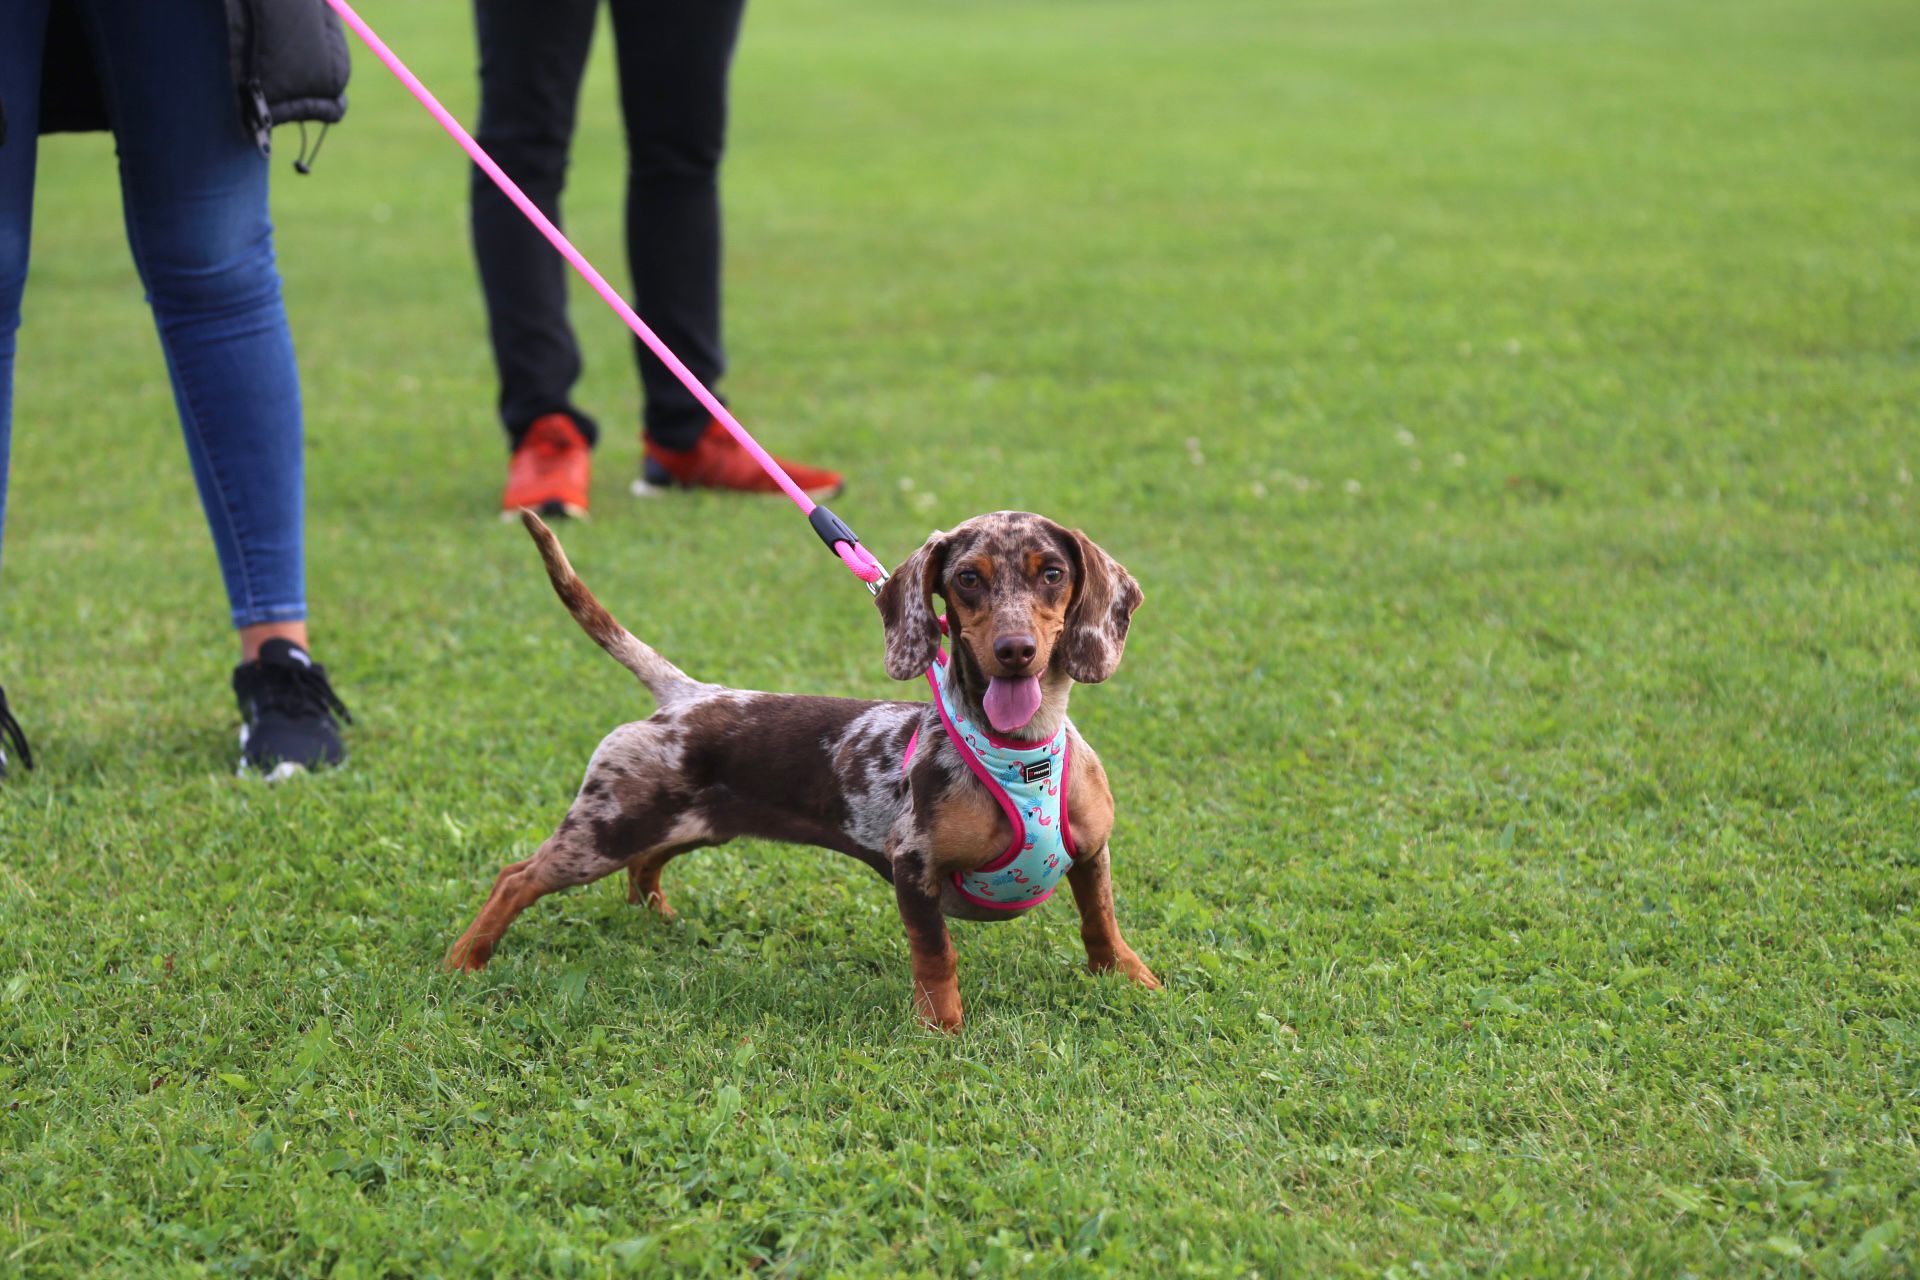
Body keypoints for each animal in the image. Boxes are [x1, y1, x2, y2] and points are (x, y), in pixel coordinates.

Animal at [449, 510, 1152, 1028]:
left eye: (1053, 573)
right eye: (968, 579)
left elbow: (1101, 922)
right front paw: (943, 1029)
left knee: (644, 866)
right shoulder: (913, 868)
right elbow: (936, 957)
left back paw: (657, 916)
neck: (1021, 753)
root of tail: (685, 694)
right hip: (606, 829)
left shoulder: (1091, 853)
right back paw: (464, 961)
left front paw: (1130, 979)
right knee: (516, 878)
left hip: (690, 825)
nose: (1015, 650)